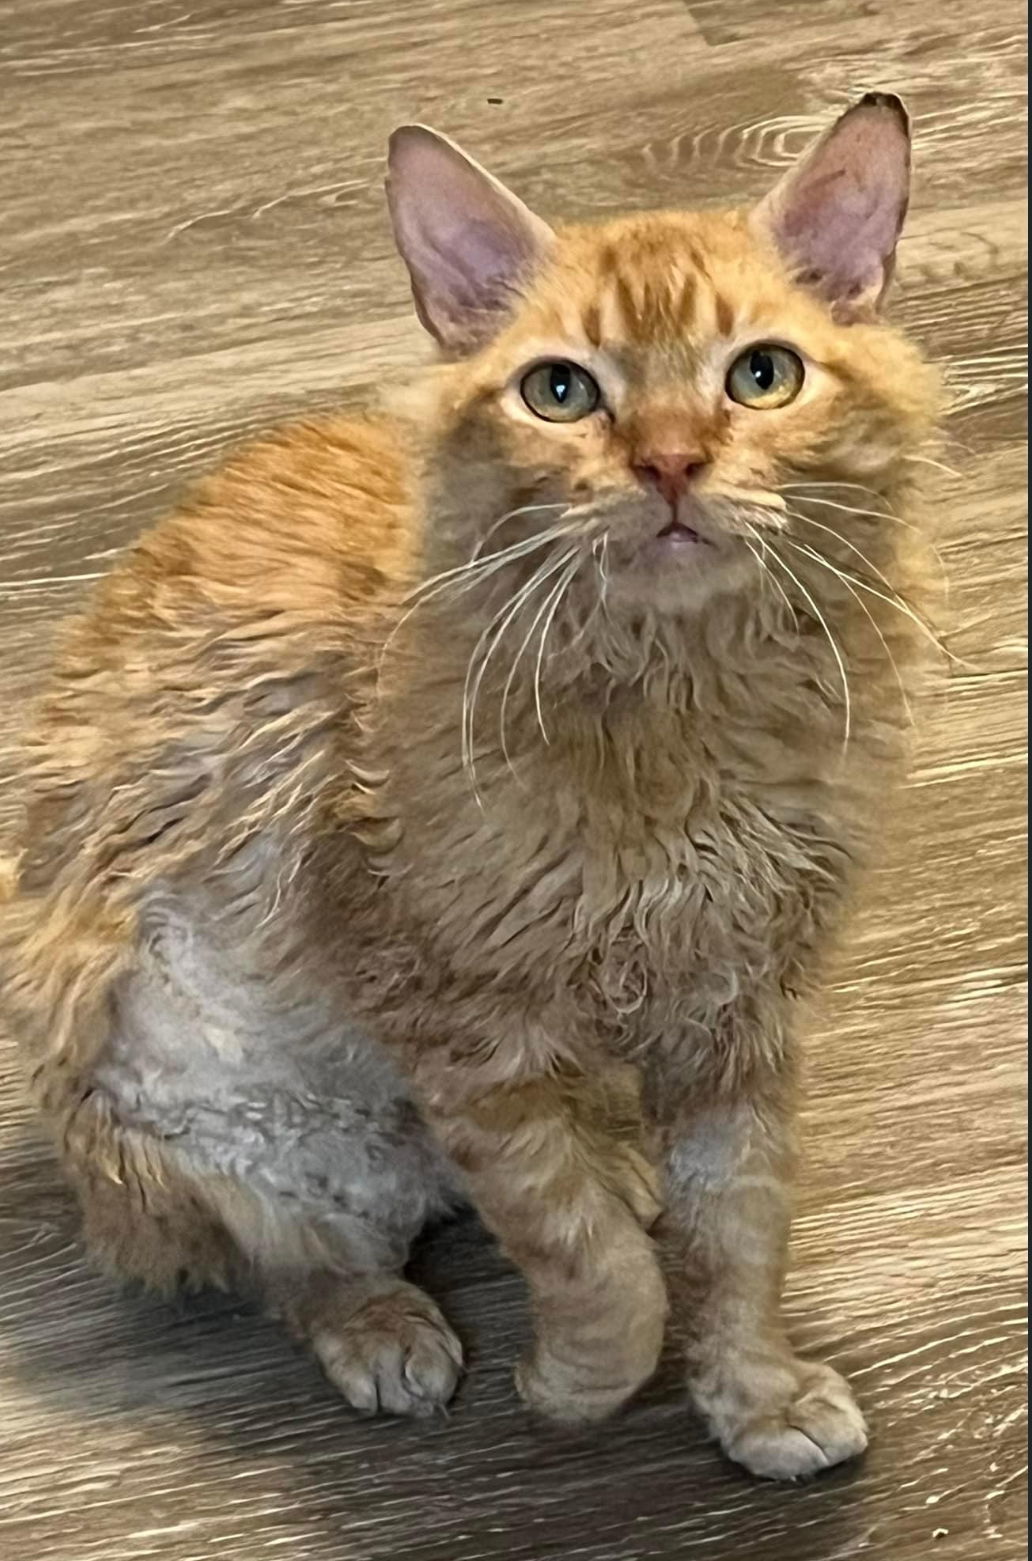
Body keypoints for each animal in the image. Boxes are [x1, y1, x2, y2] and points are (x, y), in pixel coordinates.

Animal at [0, 94, 936, 1473]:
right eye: (562, 391)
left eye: (761, 375)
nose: (669, 465)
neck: (678, 699)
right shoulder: (458, 1025)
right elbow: (594, 1263)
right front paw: (582, 1386)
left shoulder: (739, 1011)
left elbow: (739, 1237)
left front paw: (754, 1393)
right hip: (197, 1129)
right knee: (293, 1265)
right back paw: (382, 1325)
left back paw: (614, 1160)